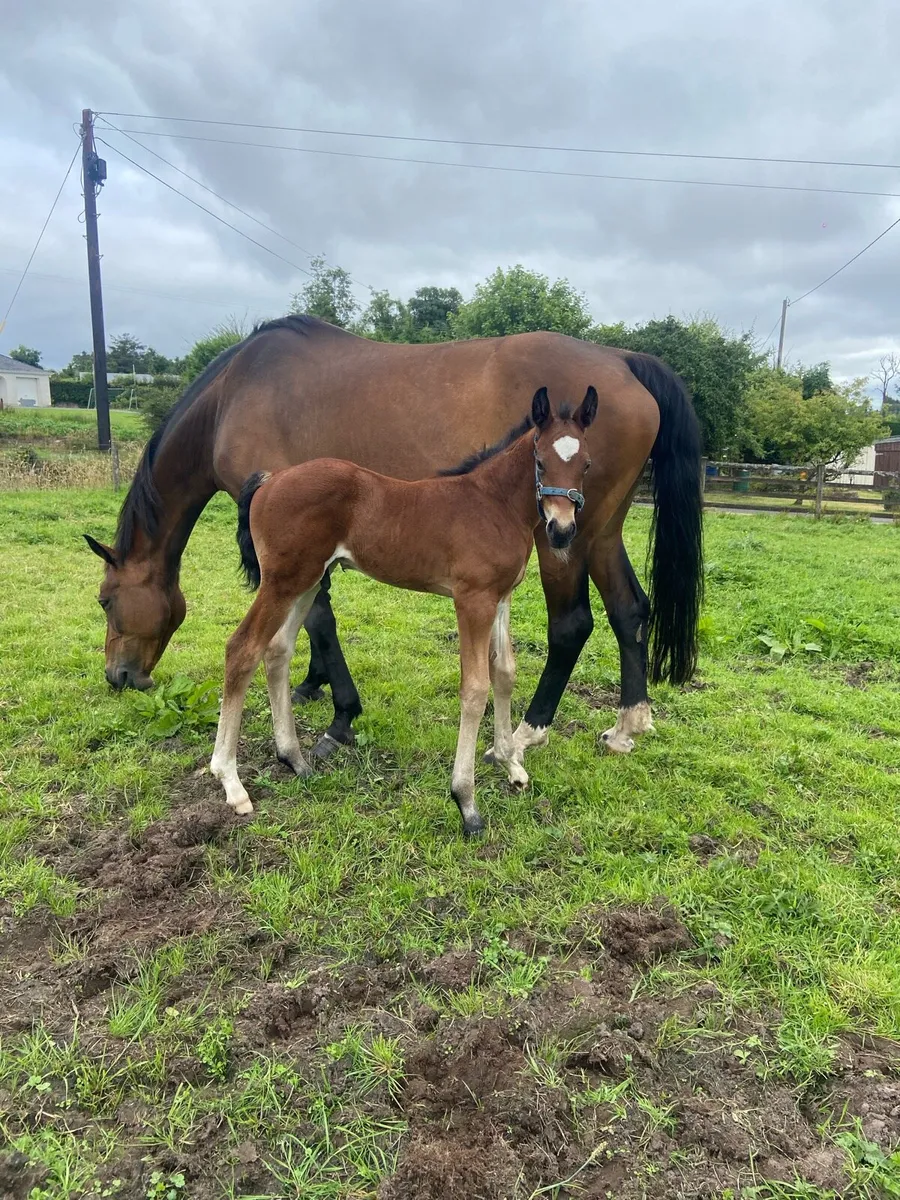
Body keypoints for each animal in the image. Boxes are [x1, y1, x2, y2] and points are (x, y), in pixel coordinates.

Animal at [85, 316, 702, 771]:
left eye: (105, 600)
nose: (119, 677)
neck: (232, 396)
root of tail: (622, 359)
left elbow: (318, 618)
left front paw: (339, 716)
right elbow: (312, 615)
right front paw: (313, 687)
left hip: (565, 539)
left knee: (572, 625)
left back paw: (527, 733)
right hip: (597, 530)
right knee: (629, 609)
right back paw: (627, 724)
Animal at [211, 386, 597, 836]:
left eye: (586, 465)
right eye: (540, 461)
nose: (562, 530)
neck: (493, 503)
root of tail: (272, 479)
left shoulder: (501, 598)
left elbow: (504, 673)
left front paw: (510, 765)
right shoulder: (473, 600)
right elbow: (475, 688)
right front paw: (466, 803)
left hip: (308, 580)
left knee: (277, 651)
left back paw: (294, 758)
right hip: (283, 581)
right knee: (242, 649)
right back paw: (231, 782)